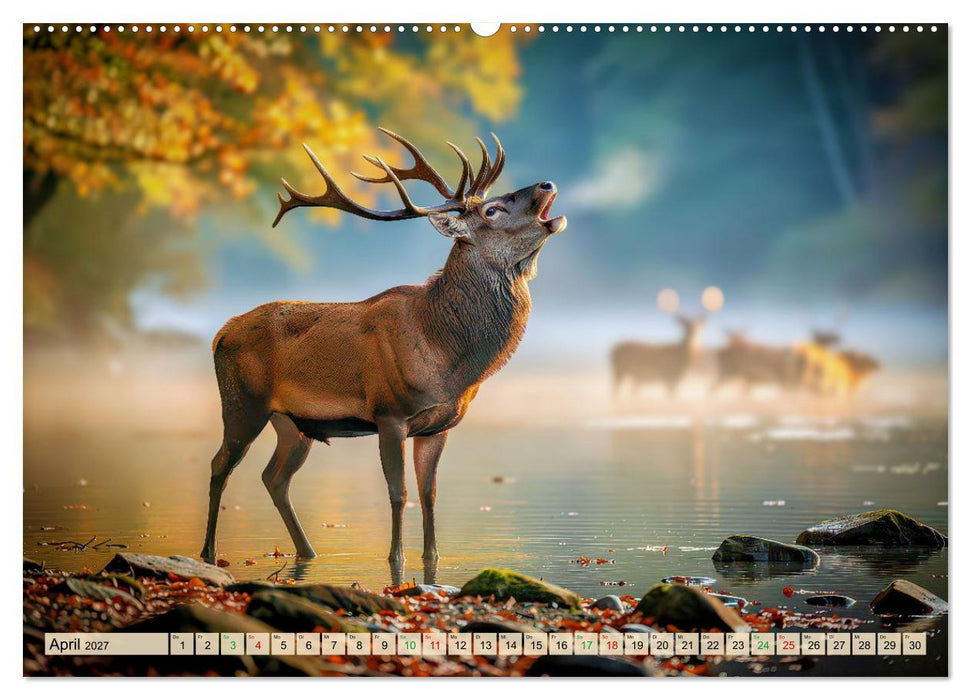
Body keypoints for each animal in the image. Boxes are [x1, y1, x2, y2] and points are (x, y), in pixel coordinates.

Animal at [199, 128, 567, 577]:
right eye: (493, 210)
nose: (546, 184)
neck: (448, 356)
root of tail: (219, 334)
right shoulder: (389, 412)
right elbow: (398, 492)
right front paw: (395, 560)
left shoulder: (439, 425)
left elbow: (429, 493)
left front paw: (432, 558)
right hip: (241, 403)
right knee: (220, 465)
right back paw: (209, 553)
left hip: (292, 423)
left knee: (274, 477)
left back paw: (307, 552)